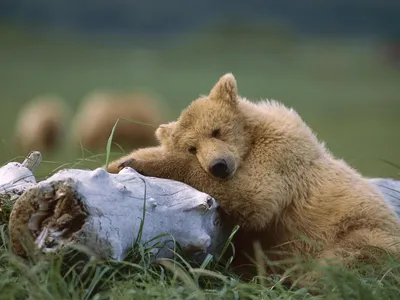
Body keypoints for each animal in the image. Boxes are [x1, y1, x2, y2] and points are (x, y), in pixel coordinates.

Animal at [106, 73, 400, 284]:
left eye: (216, 131)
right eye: (192, 147)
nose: (219, 166)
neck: (251, 139)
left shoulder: (280, 155)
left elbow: (254, 195)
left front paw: (138, 161)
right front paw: (120, 161)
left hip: (362, 231)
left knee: (344, 260)